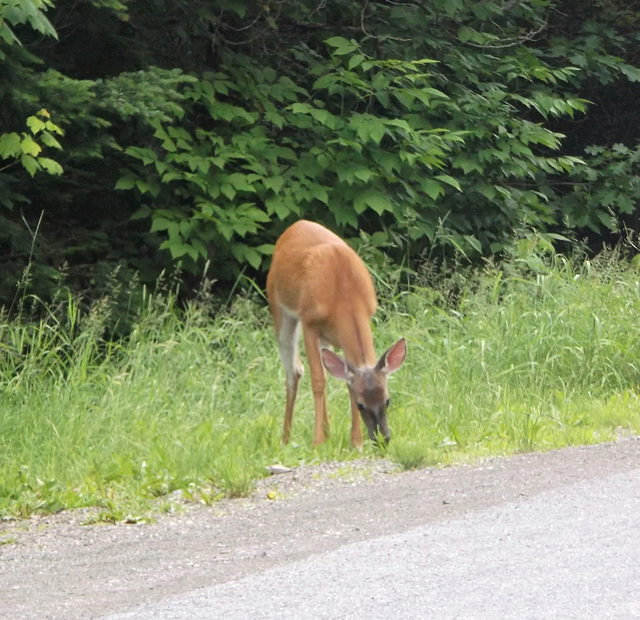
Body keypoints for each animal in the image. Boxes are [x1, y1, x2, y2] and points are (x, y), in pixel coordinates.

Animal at [264, 220, 404, 448]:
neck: (344, 292)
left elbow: (346, 382)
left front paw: (356, 442)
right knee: (294, 371)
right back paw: (286, 438)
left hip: (326, 338)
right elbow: (318, 381)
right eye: (361, 404)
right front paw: (317, 442)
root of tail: (295, 226)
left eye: (387, 400)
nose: (382, 439)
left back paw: (328, 432)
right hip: (279, 308)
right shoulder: (309, 323)